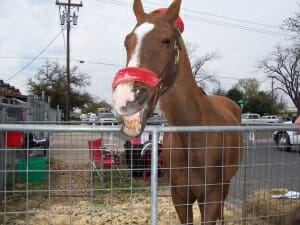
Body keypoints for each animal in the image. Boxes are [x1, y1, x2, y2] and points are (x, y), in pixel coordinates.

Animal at [111, 0, 243, 224]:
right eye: (127, 41)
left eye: (166, 40)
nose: (125, 98)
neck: (193, 136)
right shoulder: (180, 197)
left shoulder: (211, 196)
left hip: (224, 185)